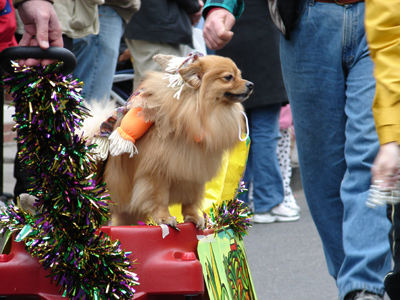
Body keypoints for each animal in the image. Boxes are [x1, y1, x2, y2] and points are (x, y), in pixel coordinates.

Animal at [91, 54, 253, 227]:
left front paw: (193, 217)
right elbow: (159, 198)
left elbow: (190, 200)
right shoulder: (157, 172)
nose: (251, 84)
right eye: (228, 77)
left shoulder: (194, 171)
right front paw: (165, 218)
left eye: (240, 75)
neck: (201, 110)